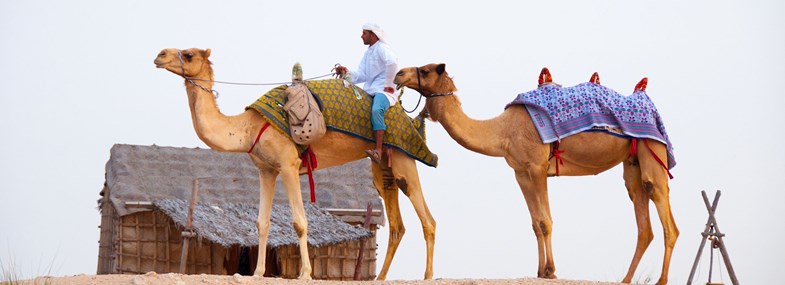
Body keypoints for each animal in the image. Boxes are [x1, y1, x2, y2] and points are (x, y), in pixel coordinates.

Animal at [152, 47, 434, 280]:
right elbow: (262, 223)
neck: (248, 127)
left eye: (189, 55)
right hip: (383, 165)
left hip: (404, 158)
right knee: (397, 224)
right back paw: (382, 277)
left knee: (427, 218)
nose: (160, 55)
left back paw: (428, 275)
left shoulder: (288, 165)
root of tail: (408, 119)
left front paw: (305, 273)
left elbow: (300, 222)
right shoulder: (266, 169)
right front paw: (258, 272)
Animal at [396, 63, 676, 284]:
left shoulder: (538, 166)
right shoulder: (521, 172)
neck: (502, 131)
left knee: (666, 217)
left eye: (425, 69)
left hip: (653, 150)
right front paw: (540, 270)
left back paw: (661, 280)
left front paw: (550, 271)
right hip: (633, 163)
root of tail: (652, 108)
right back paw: (626, 279)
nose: (398, 74)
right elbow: (535, 223)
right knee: (643, 221)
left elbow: (546, 220)